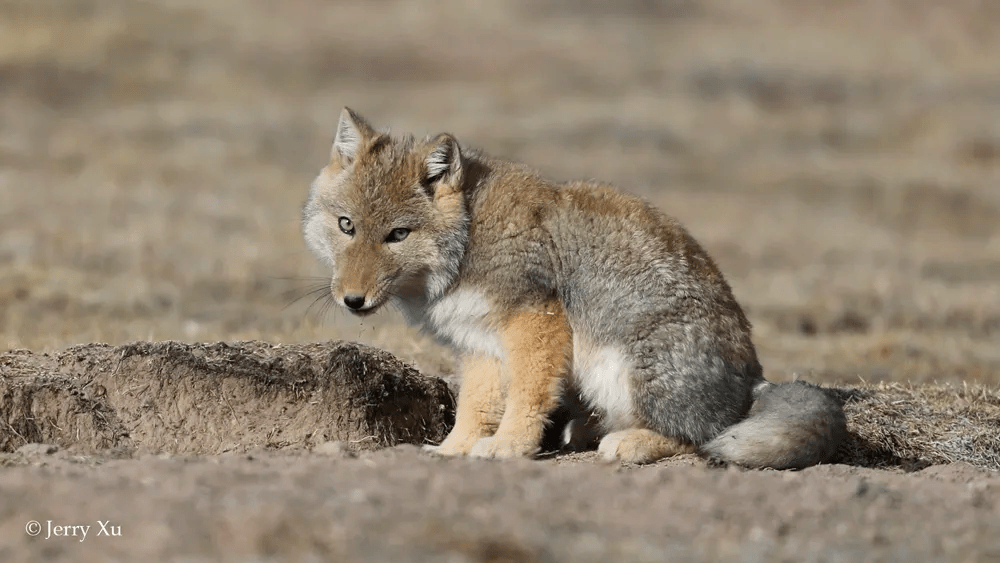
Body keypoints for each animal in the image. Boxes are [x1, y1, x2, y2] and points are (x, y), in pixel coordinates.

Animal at [300, 108, 848, 470]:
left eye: (397, 235)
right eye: (347, 226)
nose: (352, 300)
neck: (470, 237)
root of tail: (753, 378)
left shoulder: (533, 323)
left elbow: (525, 397)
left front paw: (509, 448)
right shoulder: (479, 345)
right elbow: (475, 408)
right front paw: (454, 450)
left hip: (631, 368)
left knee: (705, 435)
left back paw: (630, 443)